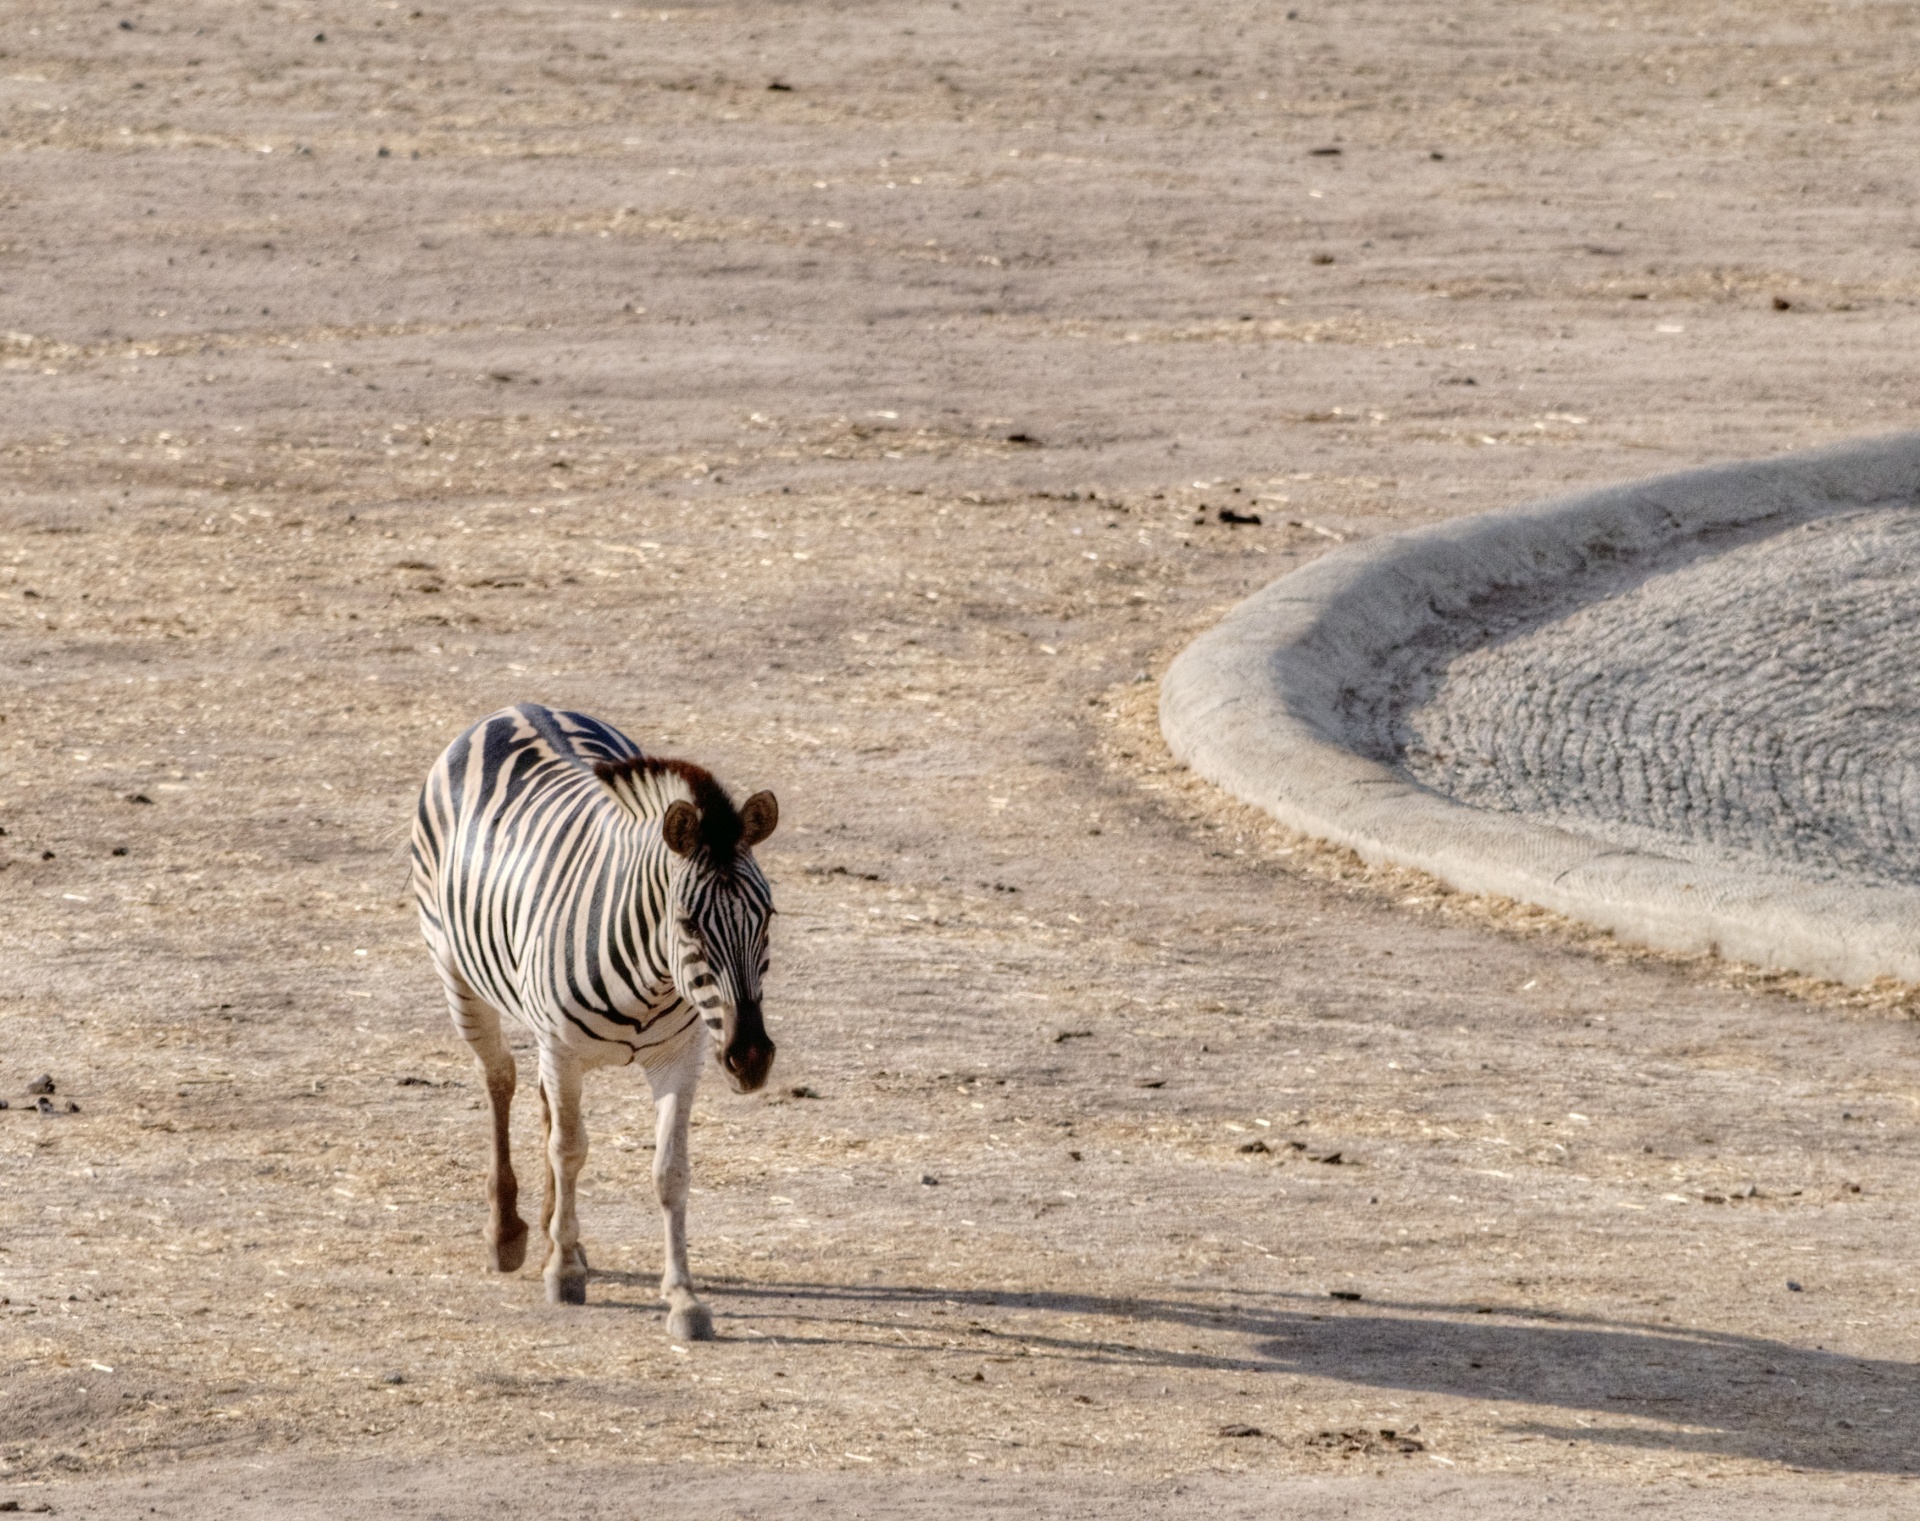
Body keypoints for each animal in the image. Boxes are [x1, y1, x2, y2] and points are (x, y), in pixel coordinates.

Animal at [412, 699, 779, 1328]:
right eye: (688, 924)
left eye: (769, 916)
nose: (751, 1058)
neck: (653, 977)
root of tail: (516, 707)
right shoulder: (561, 1046)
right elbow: (569, 1151)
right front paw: (563, 1273)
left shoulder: (681, 1056)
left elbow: (670, 1171)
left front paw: (682, 1296)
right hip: (458, 977)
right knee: (500, 1079)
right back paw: (508, 1234)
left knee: (541, 1104)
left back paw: (561, 1235)